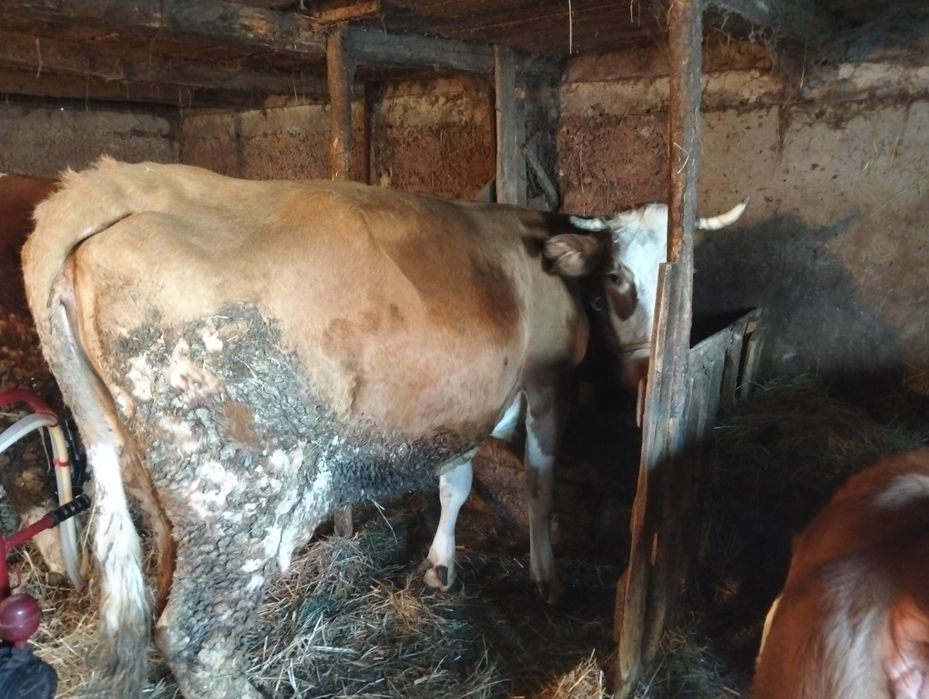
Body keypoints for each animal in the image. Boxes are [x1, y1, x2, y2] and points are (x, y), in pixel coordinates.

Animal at [22, 157, 746, 697]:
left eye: (685, 274)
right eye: (616, 277)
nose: (654, 365)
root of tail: (106, 183)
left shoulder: (458, 405)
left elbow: (455, 483)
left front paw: (440, 566)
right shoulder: (547, 384)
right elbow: (540, 485)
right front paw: (546, 577)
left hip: (157, 485)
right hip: (238, 491)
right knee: (195, 636)